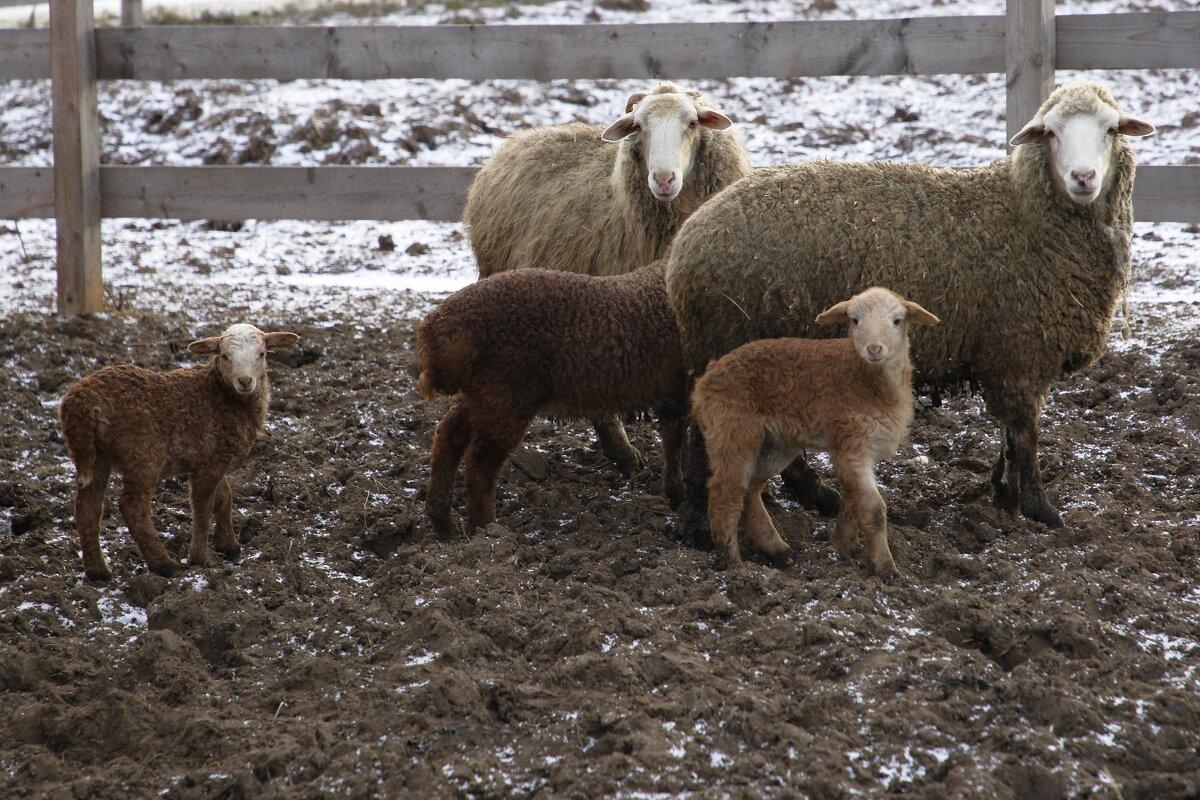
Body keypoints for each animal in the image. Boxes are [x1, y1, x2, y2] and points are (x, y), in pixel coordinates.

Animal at [56, 323, 302, 582]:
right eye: (224, 356)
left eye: (262, 354)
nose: (245, 381)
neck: (222, 395)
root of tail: (81, 403)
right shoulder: (209, 461)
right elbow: (203, 507)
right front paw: (200, 558)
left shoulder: (215, 454)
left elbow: (225, 497)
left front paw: (229, 546)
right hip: (141, 453)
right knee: (132, 506)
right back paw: (165, 564)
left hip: (94, 454)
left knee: (88, 507)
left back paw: (98, 571)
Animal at [420, 260, 686, 542]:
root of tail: (436, 326)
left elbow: (674, 440)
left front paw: (675, 494)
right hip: (506, 394)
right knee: (480, 463)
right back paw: (489, 531)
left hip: (481, 393)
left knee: (448, 436)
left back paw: (445, 525)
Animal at [667, 81, 1152, 542]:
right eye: (1051, 132)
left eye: (1112, 129)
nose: (1083, 177)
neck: (1023, 212)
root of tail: (687, 243)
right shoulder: (1019, 354)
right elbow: (1025, 435)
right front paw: (1040, 509)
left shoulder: (1006, 356)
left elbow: (1010, 437)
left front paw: (1005, 495)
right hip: (727, 340)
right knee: (705, 434)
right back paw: (703, 522)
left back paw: (815, 497)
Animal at [696, 287, 936, 575]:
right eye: (854, 320)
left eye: (897, 321)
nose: (874, 349)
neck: (863, 378)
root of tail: (707, 377)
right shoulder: (851, 441)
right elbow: (873, 509)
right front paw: (885, 567)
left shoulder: (852, 446)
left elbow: (852, 498)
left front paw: (845, 544)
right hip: (731, 431)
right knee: (726, 493)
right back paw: (732, 561)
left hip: (777, 442)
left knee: (751, 488)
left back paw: (777, 549)